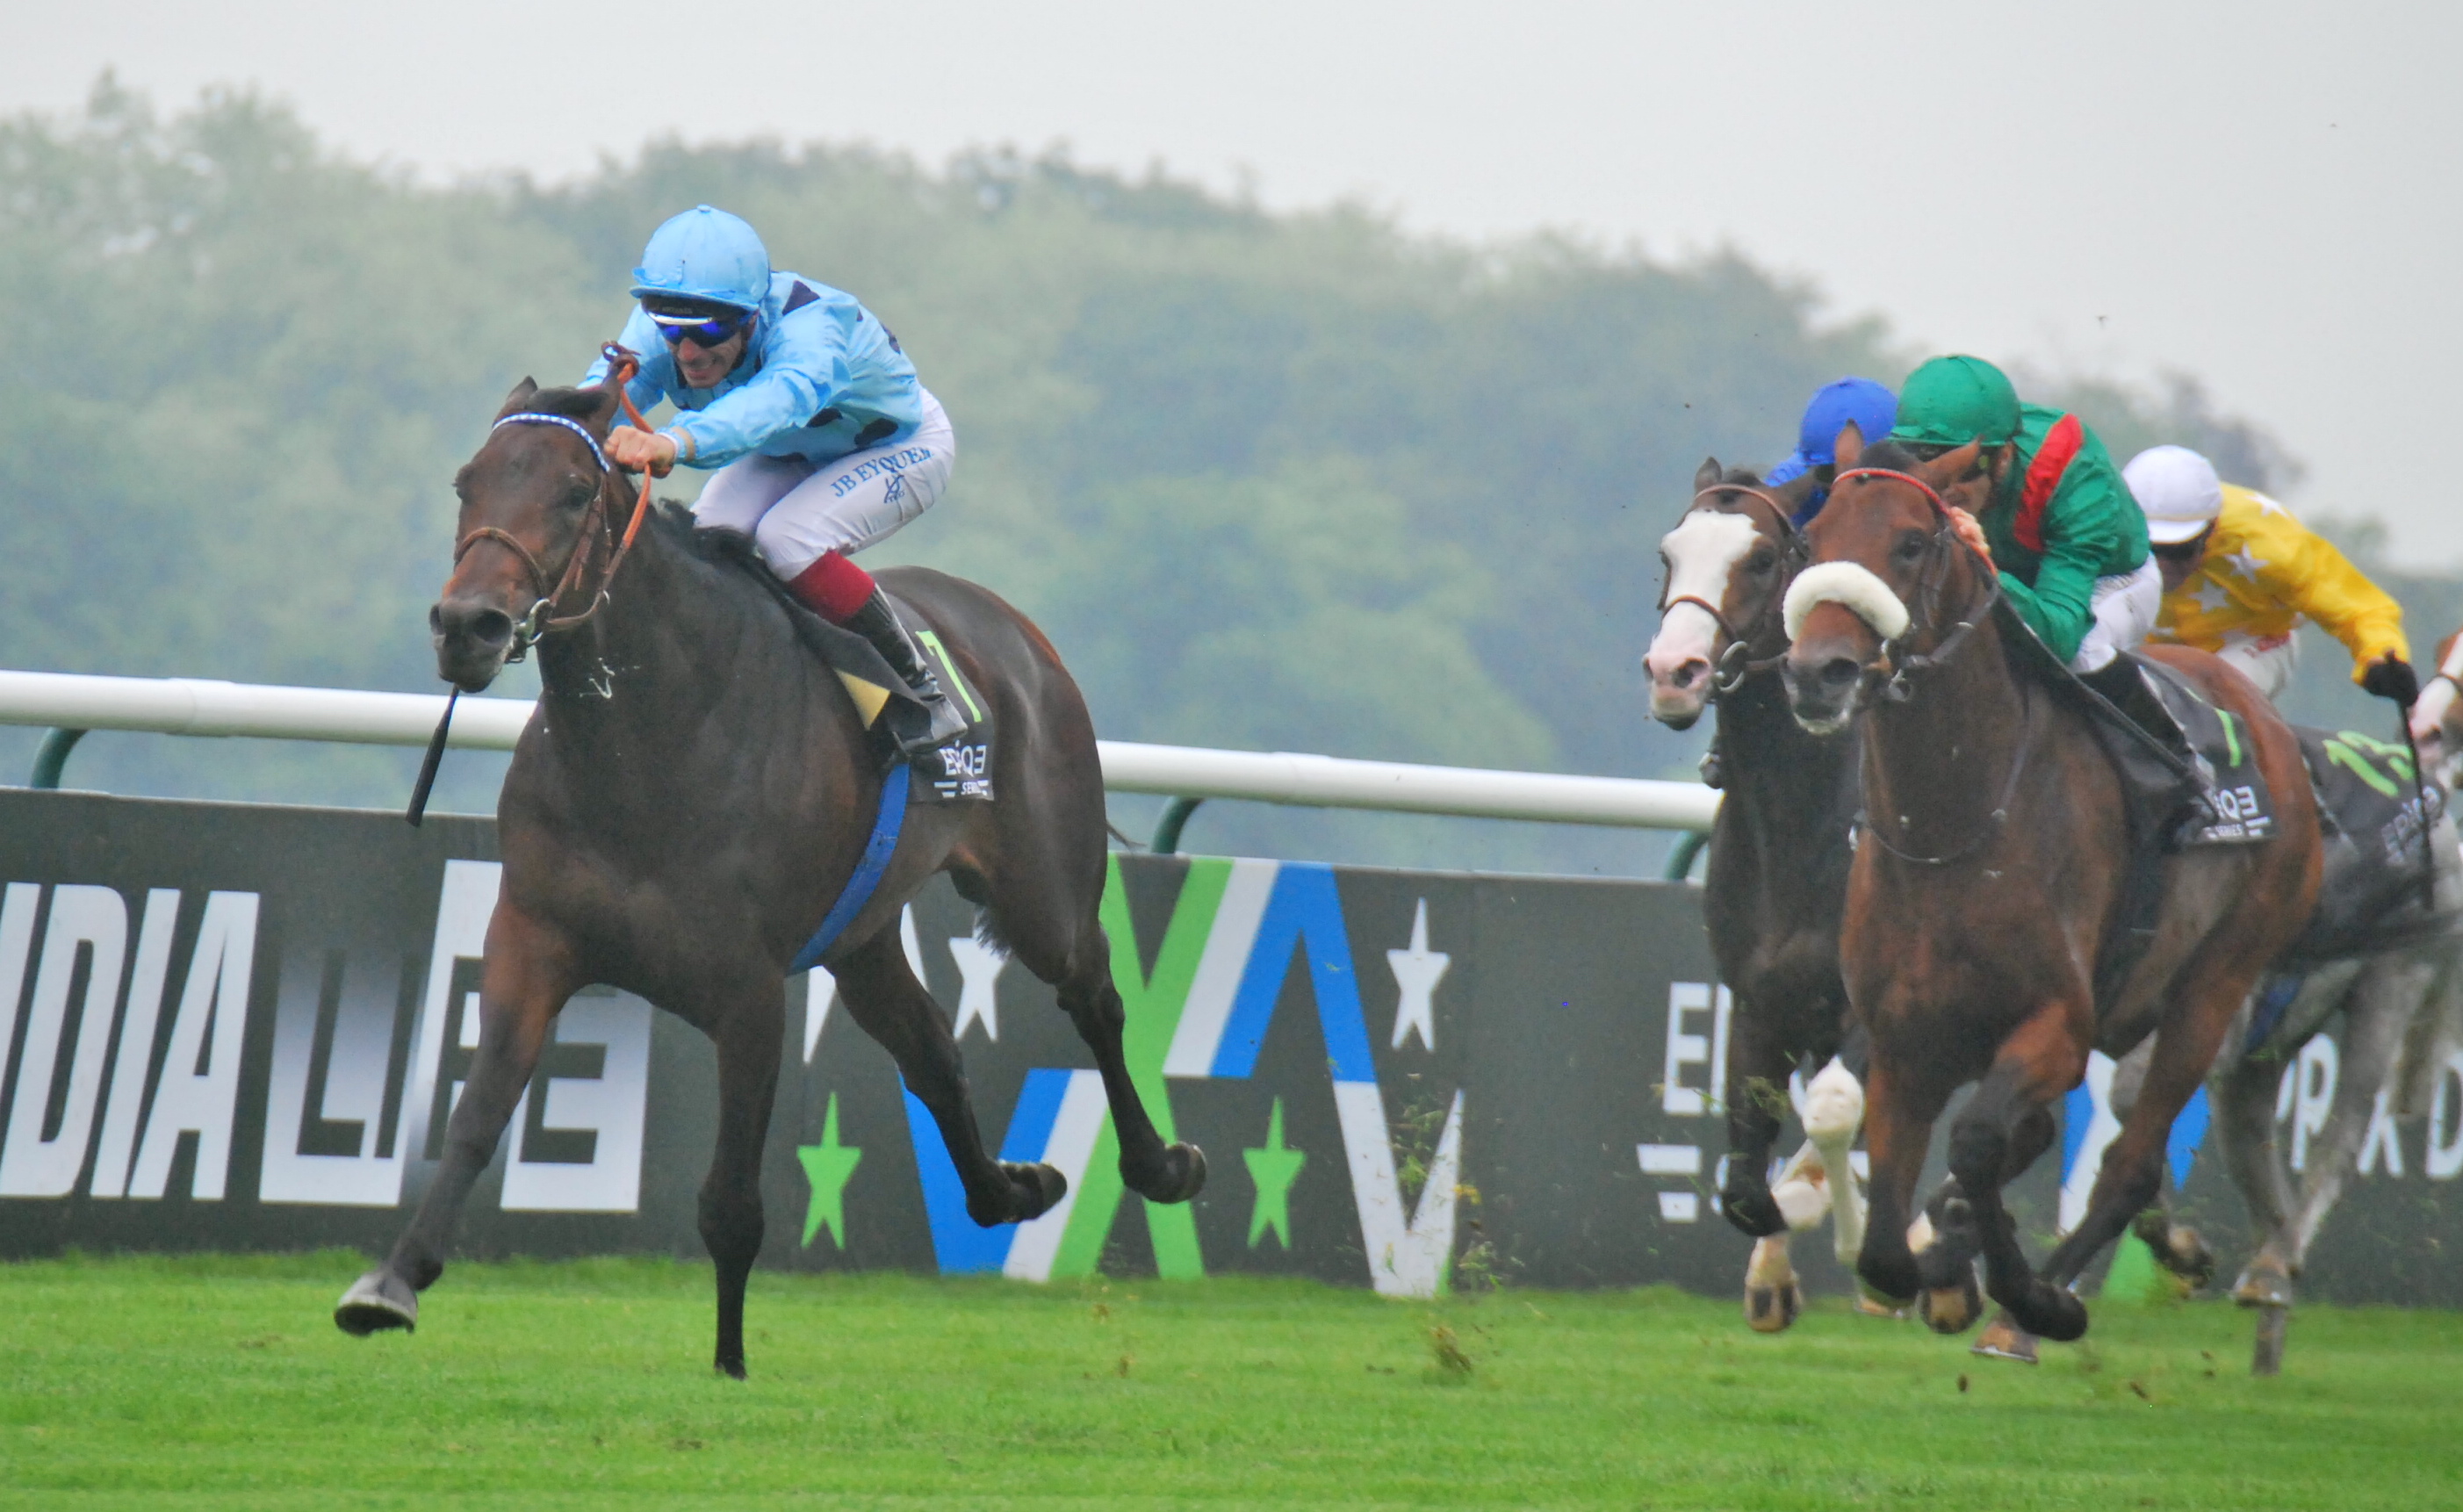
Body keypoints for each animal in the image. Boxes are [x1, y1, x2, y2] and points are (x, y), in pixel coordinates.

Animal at [1635, 457, 1862, 1329]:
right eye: (1667, 556)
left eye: (1762, 560)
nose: (1674, 674)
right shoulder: (1761, 1005)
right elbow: (1740, 1188)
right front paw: (1771, 1273)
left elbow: (1830, 1128)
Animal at [1782, 433, 2315, 1349]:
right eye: (1810, 544)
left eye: (1911, 545)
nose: (1819, 674)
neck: (1951, 834)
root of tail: (2266, 720)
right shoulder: (1903, 1043)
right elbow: (1886, 1245)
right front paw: (1937, 1262)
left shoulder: (2055, 1028)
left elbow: (1976, 1141)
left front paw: (2022, 1294)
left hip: (2214, 985)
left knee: (2128, 1165)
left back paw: (2036, 1308)